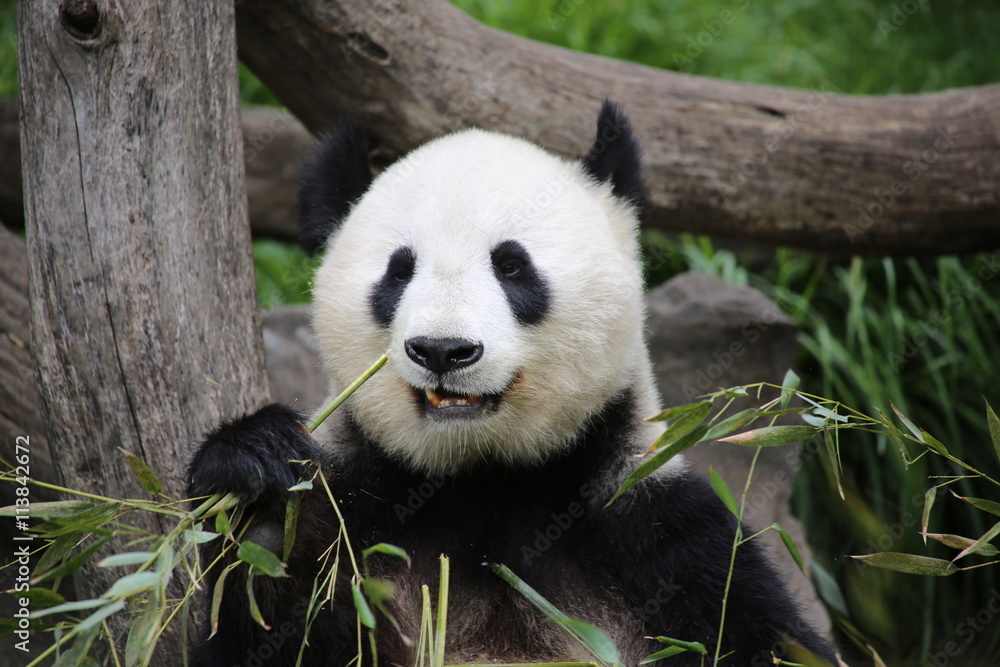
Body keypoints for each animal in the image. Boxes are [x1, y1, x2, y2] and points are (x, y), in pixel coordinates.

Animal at [188, 100, 836, 667]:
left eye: (512, 265)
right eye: (398, 271)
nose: (442, 350)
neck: (486, 481)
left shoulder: (654, 537)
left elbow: (760, 637)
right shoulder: (357, 519)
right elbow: (264, 608)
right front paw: (257, 482)